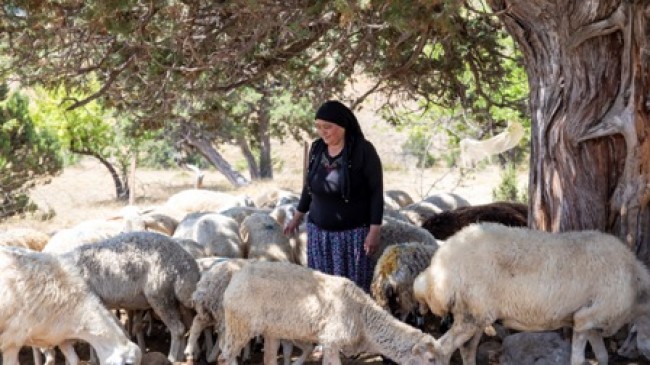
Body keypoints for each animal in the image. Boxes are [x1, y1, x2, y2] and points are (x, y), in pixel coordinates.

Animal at [63, 230, 201, 362]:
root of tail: (189, 267)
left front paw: (93, 359)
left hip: (160, 294)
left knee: (178, 329)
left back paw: (172, 359)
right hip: (177, 299)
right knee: (188, 324)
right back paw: (186, 355)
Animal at [219, 260, 440, 364]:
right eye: (430, 359)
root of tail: (236, 277)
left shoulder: (328, 343)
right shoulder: (332, 340)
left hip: (270, 330)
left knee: (269, 359)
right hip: (240, 324)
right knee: (224, 358)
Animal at [412, 222, 648, 364]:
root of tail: (438, 267)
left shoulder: (589, 323)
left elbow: (602, 355)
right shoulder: (586, 317)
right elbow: (579, 359)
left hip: (475, 313)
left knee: (466, 350)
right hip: (472, 315)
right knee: (442, 350)